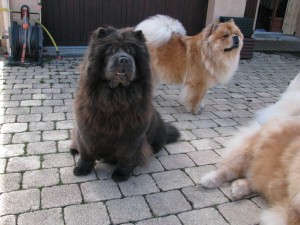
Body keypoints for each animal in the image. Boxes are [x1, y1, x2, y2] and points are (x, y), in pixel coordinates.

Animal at [71, 26, 179, 181]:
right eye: (110, 51)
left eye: (131, 52)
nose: (124, 59)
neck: (116, 98)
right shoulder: (87, 130)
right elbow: (86, 153)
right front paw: (81, 168)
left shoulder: (132, 137)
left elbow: (127, 157)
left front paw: (121, 174)